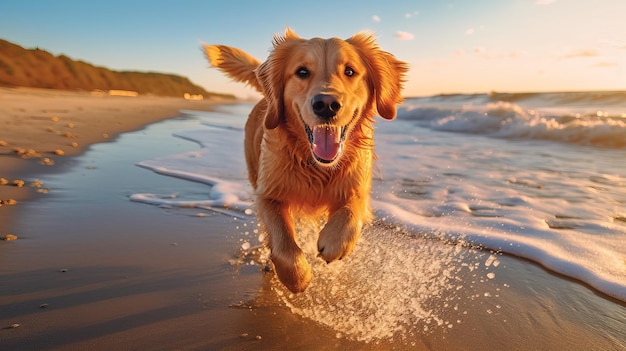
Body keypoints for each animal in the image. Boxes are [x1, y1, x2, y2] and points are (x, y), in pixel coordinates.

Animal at [202, 27, 408, 292]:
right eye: (302, 72)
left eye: (350, 71)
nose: (326, 105)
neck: (316, 165)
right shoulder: (267, 193)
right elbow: (282, 242)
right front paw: (297, 277)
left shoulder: (357, 186)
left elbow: (352, 210)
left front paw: (334, 242)